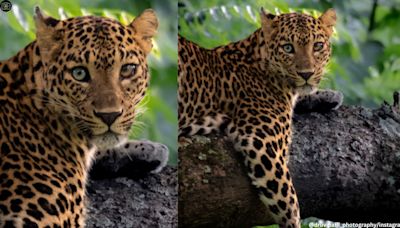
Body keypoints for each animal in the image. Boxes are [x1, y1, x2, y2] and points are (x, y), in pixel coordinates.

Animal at [180, 8, 340, 227]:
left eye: (318, 46)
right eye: (288, 48)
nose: (306, 74)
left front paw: (328, 96)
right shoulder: (262, 142)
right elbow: (289, 200)